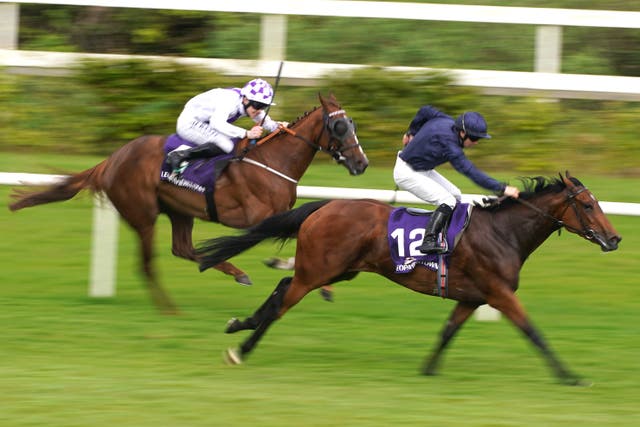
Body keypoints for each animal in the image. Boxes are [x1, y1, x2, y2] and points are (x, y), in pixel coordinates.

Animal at [10, 93, 368, 314]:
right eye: (338, 126)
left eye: (352, 124)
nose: (361, 164)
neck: (271, 161)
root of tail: (112, 160)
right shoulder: (260, 217)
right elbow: (300, 236)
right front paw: (311, 278)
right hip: (143, 215)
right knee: (148, 264)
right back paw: (170, 309)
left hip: (180, 211)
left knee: (183, 249)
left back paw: (232, 271)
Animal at [196, 172, 620, 386]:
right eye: (587, 205)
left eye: (597, 203)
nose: (614, 239)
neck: (503, 232)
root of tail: (326, 205)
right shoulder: (498, 293)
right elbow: (533, 332)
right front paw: (569, 376)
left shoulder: (472, 297)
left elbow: (447, 332)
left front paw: (428, 369)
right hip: (319, 269)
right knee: (284, 301)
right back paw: (243, 347)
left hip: (337, 270)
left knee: (283, 289)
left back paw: (239, 325)